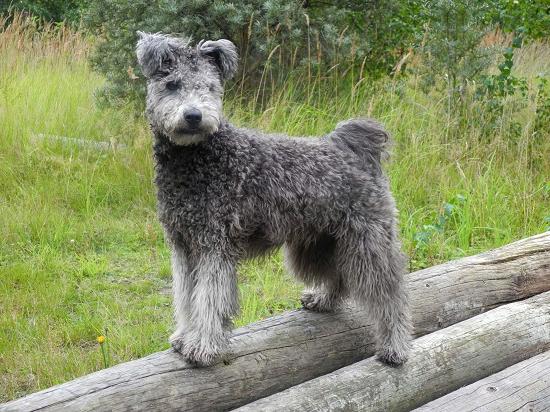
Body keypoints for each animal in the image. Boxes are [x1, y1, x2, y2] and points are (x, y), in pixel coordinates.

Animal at [137, 32, 414, 366]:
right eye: (172, 84)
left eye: (210, 87)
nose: (194, 115)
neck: (199, 160)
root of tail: (350, 148)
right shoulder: (183, 246)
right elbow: (185, 296)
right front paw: (184, 335)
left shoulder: (214, 248)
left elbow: (208, 299)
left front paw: (203, 346)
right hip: (321, 241)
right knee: (338, 275)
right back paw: (323, 298)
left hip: (367, 243)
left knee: (390, 295)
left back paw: (395, 347)